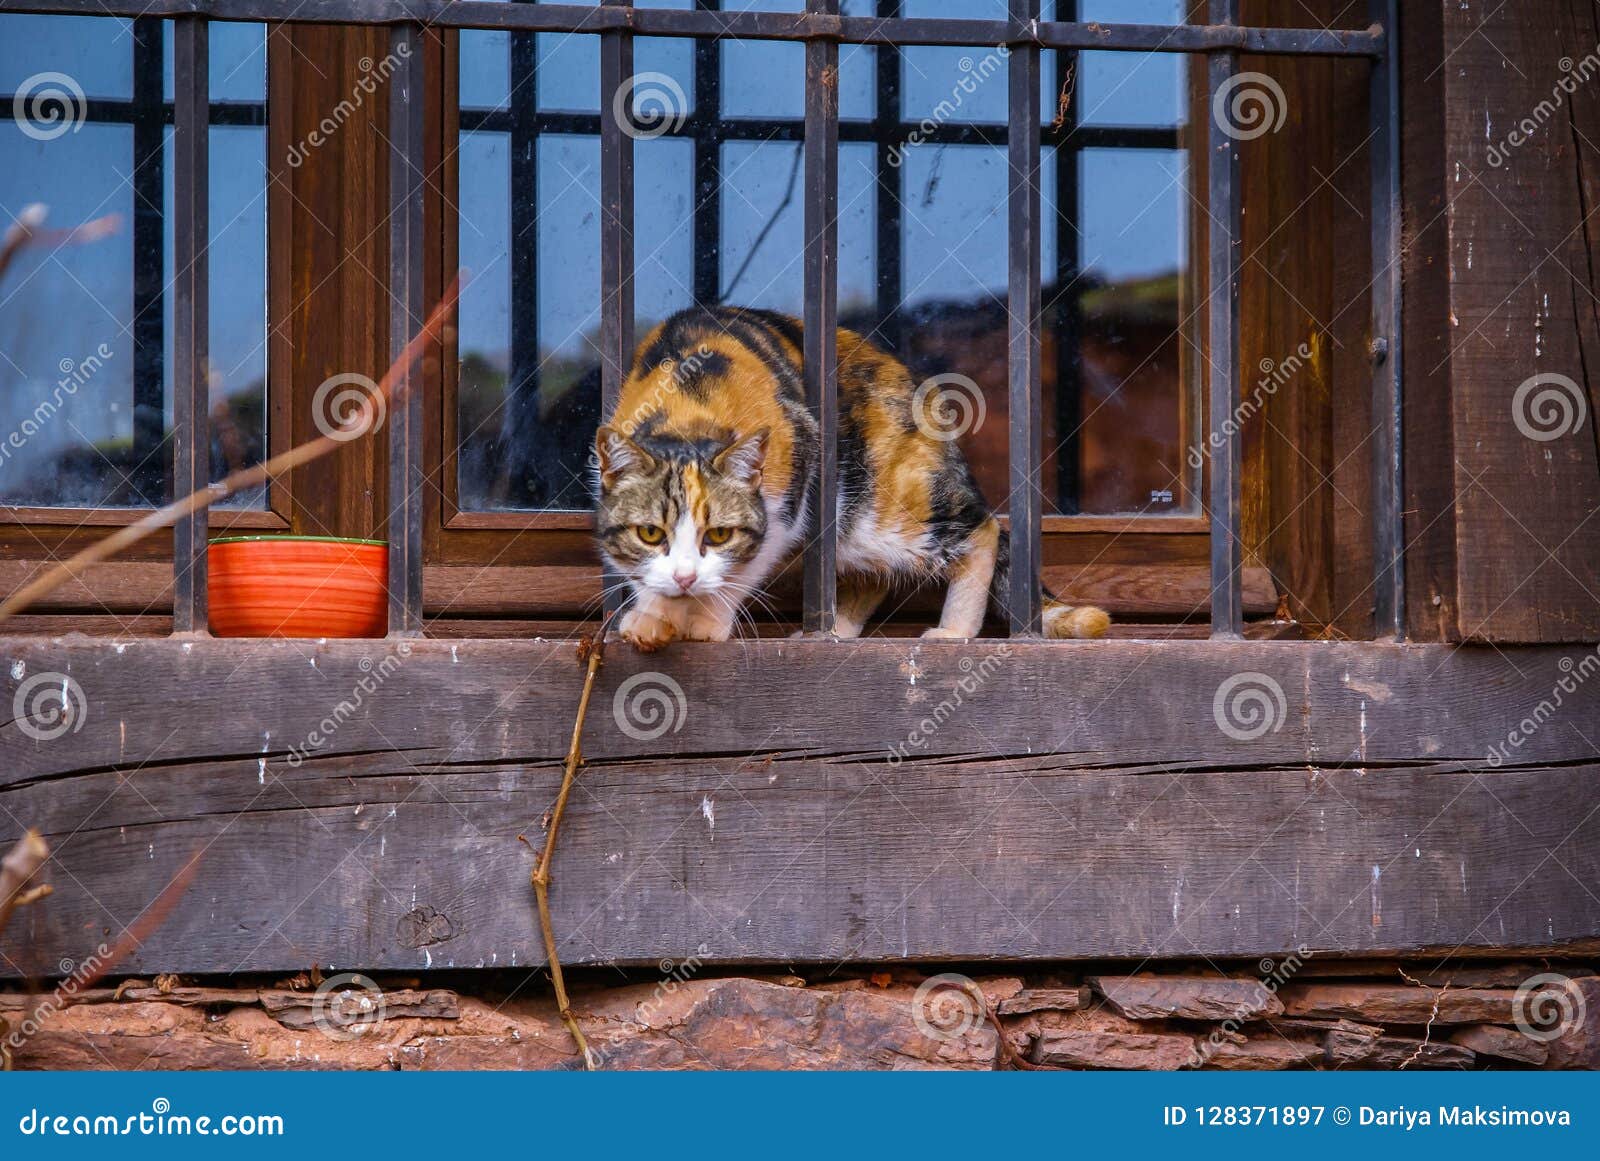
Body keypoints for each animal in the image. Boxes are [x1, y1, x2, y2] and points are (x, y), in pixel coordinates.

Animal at [595, 308, 1107, 655]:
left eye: (719, 534)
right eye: (650, 533)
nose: (685, 579)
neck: (686, 413)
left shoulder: (788, 497)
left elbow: (748, 567)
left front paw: (707, 621)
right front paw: (650, 618)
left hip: (879, 502)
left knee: (983, 529)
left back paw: (953, 631)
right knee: (872, 577)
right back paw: (834, 632)